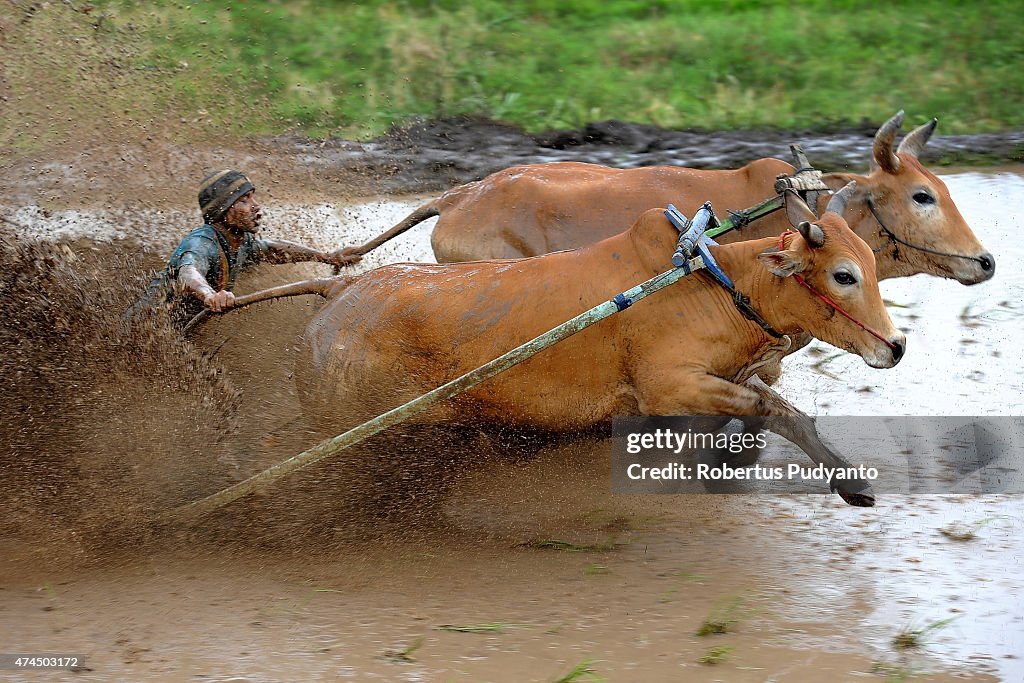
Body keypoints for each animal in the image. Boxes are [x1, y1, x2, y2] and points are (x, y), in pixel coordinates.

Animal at [299, 184, 905, 505]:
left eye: (873, 267)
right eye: (845, 276)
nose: (897, 346)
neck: (717, 284)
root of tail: (340, 291)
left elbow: (788, 414)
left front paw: (851, 481)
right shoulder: (668, 388)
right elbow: (767, 409)